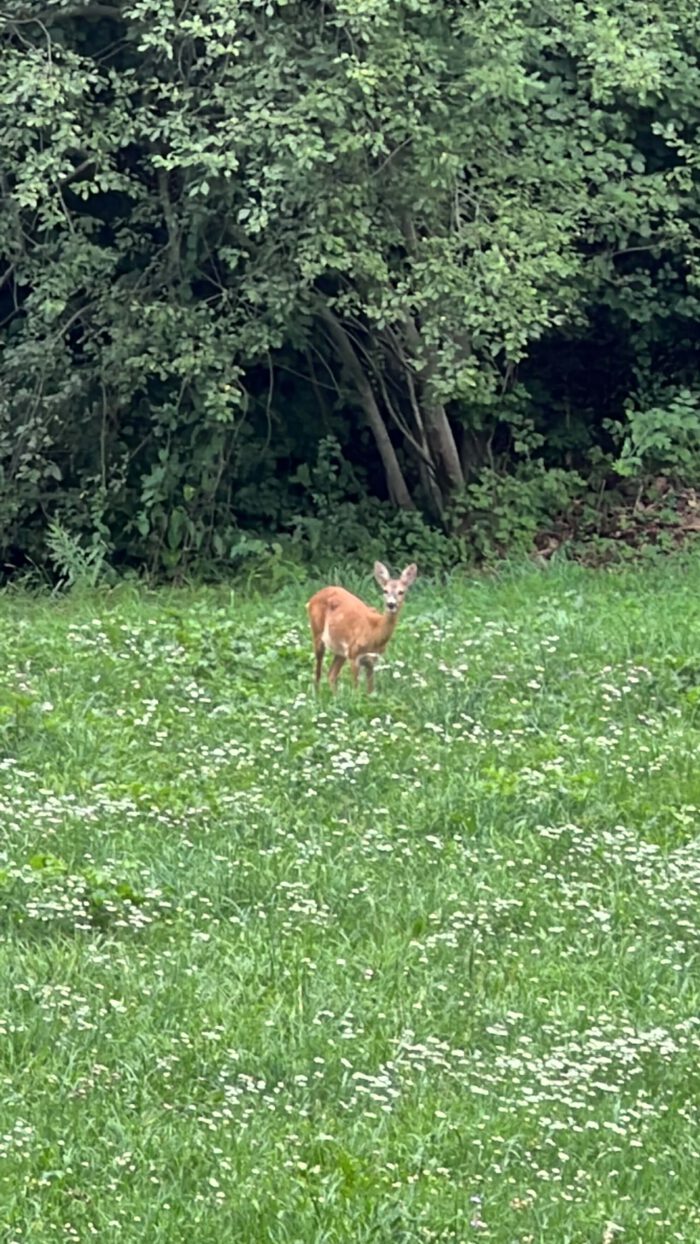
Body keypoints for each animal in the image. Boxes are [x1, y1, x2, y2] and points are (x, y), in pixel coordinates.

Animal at [305, 562, 415, 696]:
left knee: (331, 674)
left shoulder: (371, 660)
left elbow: (370, 690)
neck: (374, 633)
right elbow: (356, 689)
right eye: (385, 590)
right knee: (318, 671)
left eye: (401, 592)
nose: (391, 604)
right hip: (317, 633)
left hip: (341, 650)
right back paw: (317, 695)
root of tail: (314, 596)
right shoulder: (354, 654)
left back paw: (334, 696)